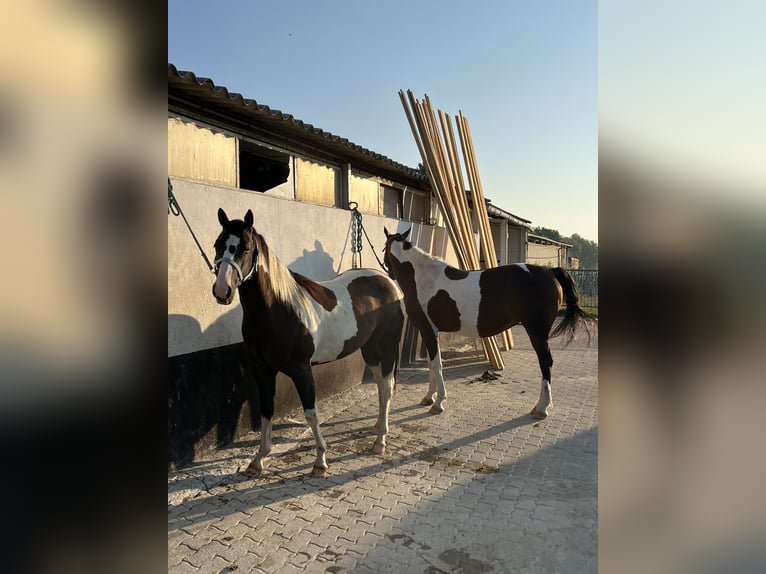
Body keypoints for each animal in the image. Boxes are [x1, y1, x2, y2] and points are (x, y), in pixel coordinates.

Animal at [212, 209, 405, 477]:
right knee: (380, 384)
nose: (222, 290)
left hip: (386, 346)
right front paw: (258, 460)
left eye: (246, 248)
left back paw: (380, 441)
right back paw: (377, 427)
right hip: (369, 349)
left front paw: (320, 461)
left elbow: (311, 413)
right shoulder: (263, 370)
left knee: (387, 386)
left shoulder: (302, 370)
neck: (277, 310)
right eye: (217, 245)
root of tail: (388, 281)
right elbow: (266, 411)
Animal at [383, 227, 595, 419]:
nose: (388, 271)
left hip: (537, 332)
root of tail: (549, 271)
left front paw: (438, 402)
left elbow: (437, 364)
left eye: (384, 248)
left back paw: (542, 408)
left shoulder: (428, 330)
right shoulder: (429, 332)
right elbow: (430, 364)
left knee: (545, 363)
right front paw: (428, 397)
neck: (423, 278)